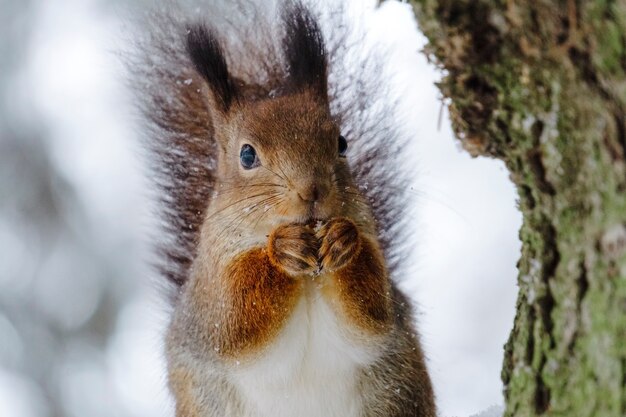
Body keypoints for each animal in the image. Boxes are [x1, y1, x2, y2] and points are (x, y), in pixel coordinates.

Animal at [130, 0, 434, 416]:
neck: (308, 276)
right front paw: (282, 249)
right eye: (246, 155)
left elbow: (373, 312)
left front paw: (344, 240)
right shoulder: (210, 291)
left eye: (341, 143)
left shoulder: (380, 295)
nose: (312, 190)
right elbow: (235, 320)